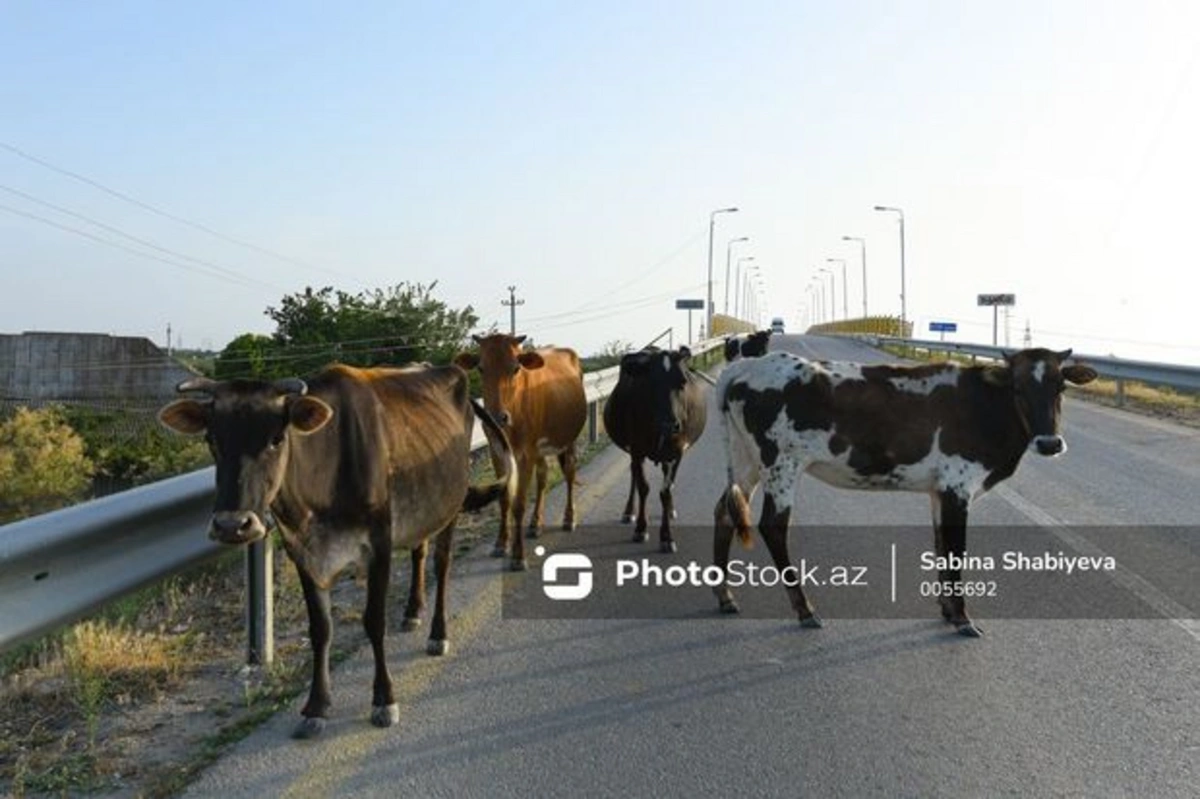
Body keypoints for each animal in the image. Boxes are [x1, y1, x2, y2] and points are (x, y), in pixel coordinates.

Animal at [159, 364, 516, 739]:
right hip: (423, 508)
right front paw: (316, 706)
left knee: (442, 564)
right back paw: (412, 612)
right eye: (211, 440)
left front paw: (384, 700)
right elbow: (320, 629)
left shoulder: (379, 544)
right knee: (419, 551)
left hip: (450, 504)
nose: (232, 525)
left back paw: (438, 634)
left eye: (276, 439)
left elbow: (373, 621)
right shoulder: (301, 551)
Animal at [453, 333, 585, 568]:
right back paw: (535, 524)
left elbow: (519, 503)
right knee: (543, 477)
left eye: (516, 368)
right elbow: (505, 498)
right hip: (539, 450)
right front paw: (500, 543)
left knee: (569, 473)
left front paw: (518, 554)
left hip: (568, 438)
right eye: (481, 368)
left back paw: (569, 518)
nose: (497, 417)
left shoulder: (525, 453)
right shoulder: (496, 451)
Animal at [604, 345, 705, 551]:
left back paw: (671, 509)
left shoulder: (677, 452)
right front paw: (641, 529)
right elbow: (643, 487)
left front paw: (666, 537)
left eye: (682, 382)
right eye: (651, 383)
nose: (670, 425)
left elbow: (665, 491)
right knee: (634, 476)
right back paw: (629, 512)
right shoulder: (636, 449)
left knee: (667, 481)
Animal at [710, 345, 1099, 633]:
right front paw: (962, 617)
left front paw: (947, 610)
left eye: (1061, 388)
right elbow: (956, 550)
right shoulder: (958, 484)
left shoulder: (940, 490)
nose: (1049, 443)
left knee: (725, 511)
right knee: (773, 526)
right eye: (1017, 388)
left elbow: (941, 544)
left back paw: (725, 596)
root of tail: (745, 367)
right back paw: (804, 610)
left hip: (746, 459)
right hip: (781, 462)